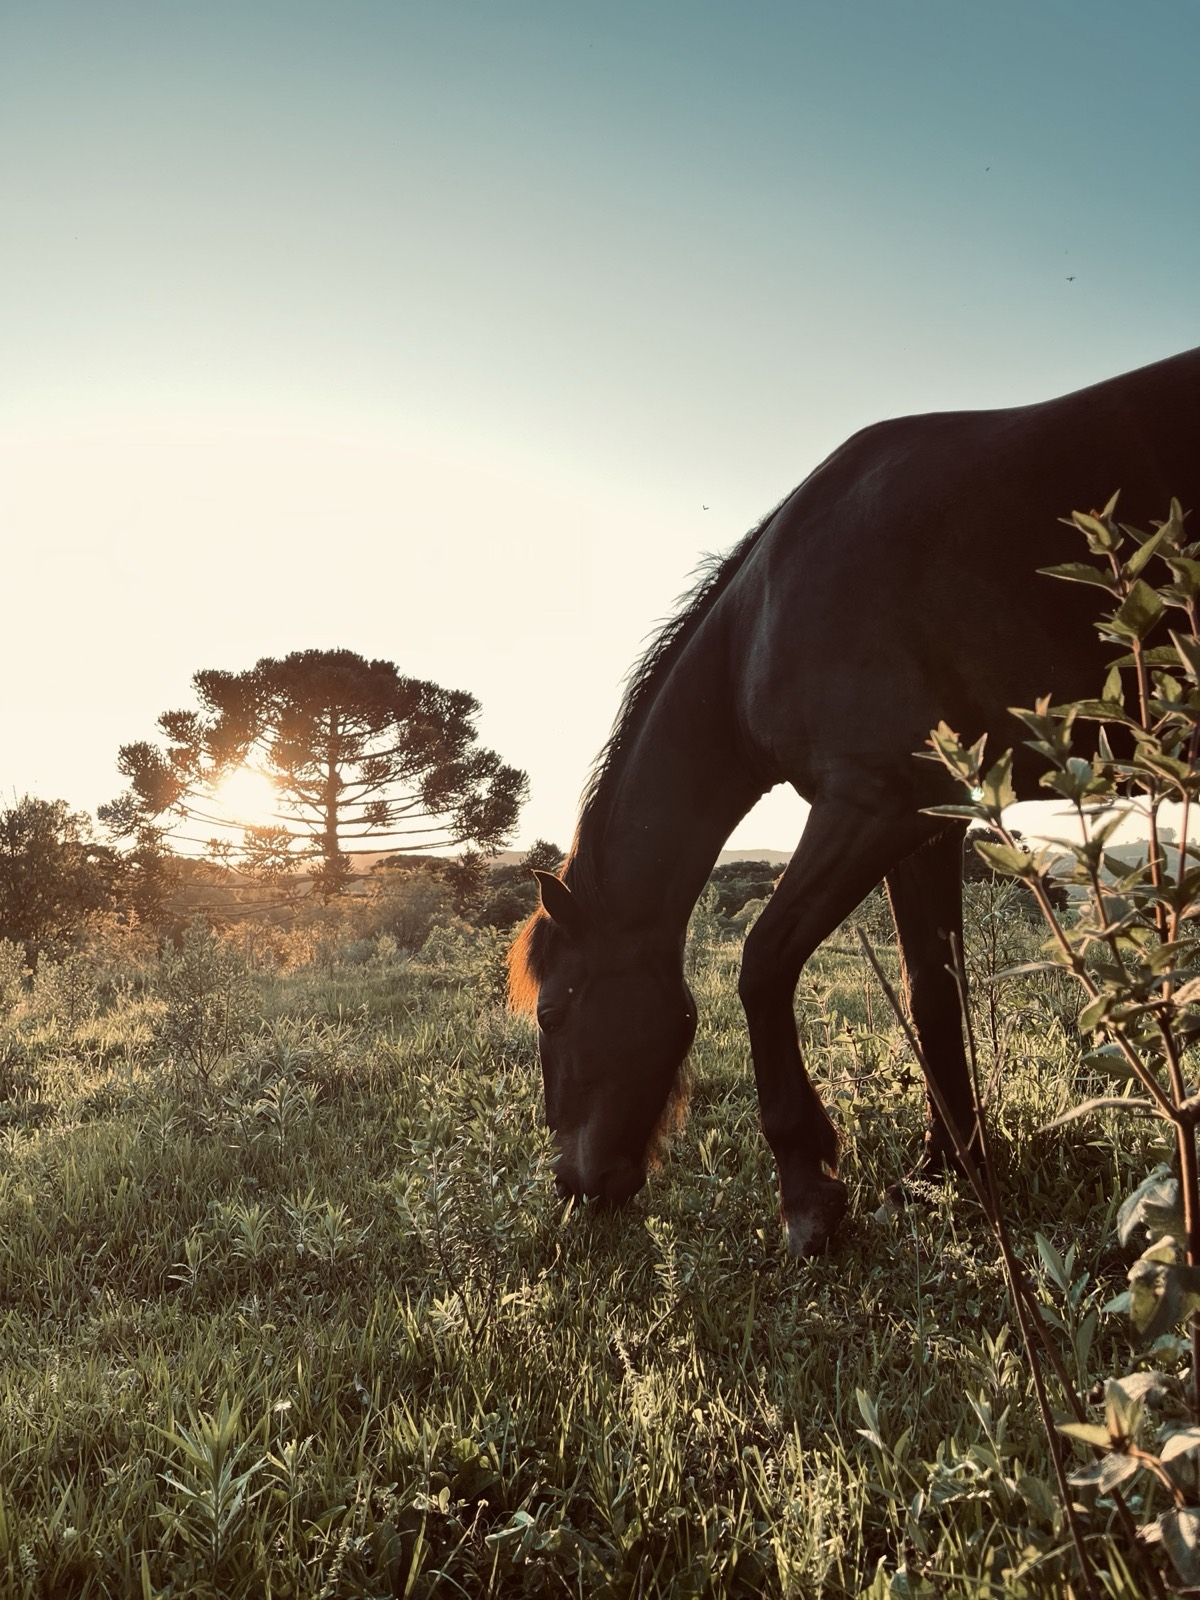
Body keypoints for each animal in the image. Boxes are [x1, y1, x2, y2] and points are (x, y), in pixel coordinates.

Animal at [508, 347, 1200, 1255]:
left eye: (555, 1015)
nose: (575, 1186)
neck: (769, 619)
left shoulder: (872, 807)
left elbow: (765, 962)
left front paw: (809, 1196)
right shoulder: (931, 824)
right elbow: (932, 991)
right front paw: (946, 1171)